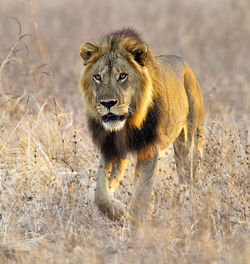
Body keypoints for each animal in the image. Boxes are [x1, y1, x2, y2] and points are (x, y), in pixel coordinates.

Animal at [79, 28, 204, 226]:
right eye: (97, 77)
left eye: (122, 76)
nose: (108, 103)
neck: (126, 125)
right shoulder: (111, 149)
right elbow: (100, 194)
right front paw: (120, 213)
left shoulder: (149, 148)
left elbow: (140, 196)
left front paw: (136, 225)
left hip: (190, 140)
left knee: (189, 173)